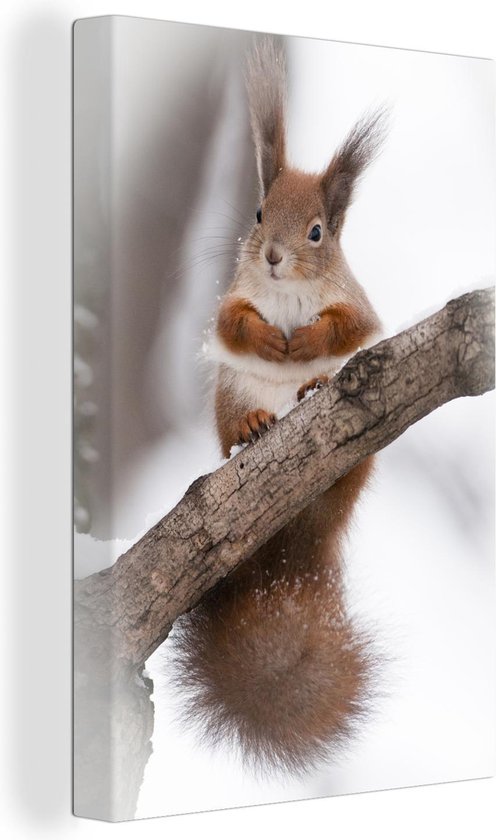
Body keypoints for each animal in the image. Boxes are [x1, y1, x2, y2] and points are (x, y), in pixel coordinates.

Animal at [172, 39, 386, 776]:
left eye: (317, 232)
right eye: (260, 211)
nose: (270, 257)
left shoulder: (358, 307)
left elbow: (350, 330)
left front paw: (307, 350)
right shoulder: (234, 297)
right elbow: (232, 323)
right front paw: (268, 338)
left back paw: (315, 394)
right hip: (229, 393)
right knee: (233, 425)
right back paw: (253, 426)